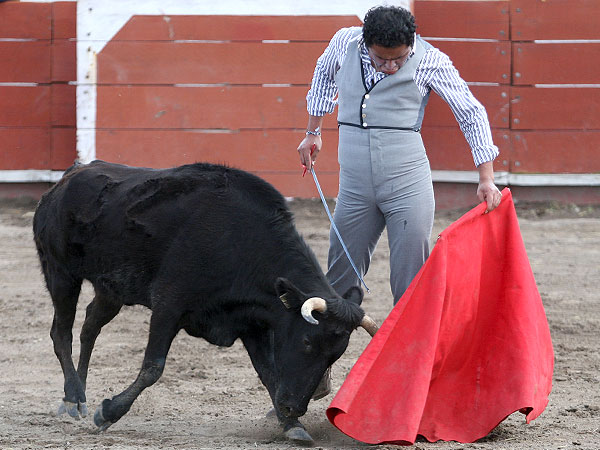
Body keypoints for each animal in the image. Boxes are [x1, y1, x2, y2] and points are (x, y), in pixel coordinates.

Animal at [32, 160, 376, 442]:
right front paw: (108, 413)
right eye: (307, 342)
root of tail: (69, 176)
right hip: (61, 273)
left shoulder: (252, 322)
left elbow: (268, 373)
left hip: (112, 289)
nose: (293, 407)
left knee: (89, 326)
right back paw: (73, 398)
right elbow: (153, 367)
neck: (239, 242)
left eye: (335, 356)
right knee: (61, 332)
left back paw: (78, 395)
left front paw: (291, 426)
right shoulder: (168, 304)